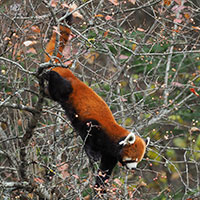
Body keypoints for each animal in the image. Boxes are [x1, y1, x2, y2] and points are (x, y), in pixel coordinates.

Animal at [44, 13, 150, 188]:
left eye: (138, 160)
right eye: (132, 159)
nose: (133, 168)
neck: (113, 141)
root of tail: (72, 76)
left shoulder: (110, 155)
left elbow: (105, 171)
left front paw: (100, 187)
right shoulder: (96, 127)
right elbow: (88, 136)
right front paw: (92, 154)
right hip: (68, 89)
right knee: (59, 84)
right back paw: (48, 75)